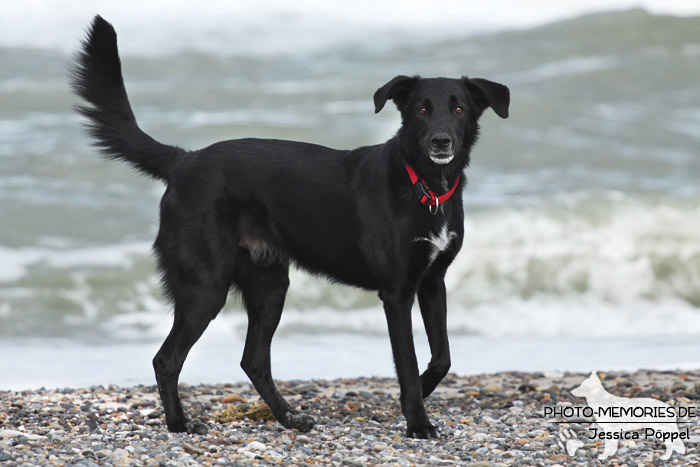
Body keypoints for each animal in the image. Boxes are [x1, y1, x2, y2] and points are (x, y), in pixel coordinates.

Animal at [71, 14, 508, 438]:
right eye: (421, 109)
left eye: (458, 110)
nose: (441, 142)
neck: (425, 186)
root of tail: (184, 161)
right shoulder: (397, 292)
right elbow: (409, 361)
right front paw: (417, 421)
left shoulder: (432, 282)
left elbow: (441, 357)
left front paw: (416, 395)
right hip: (206, 286)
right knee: (167, 359)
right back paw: (180, 423)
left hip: (270, 285)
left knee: (253, 360)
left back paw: (288, 418)